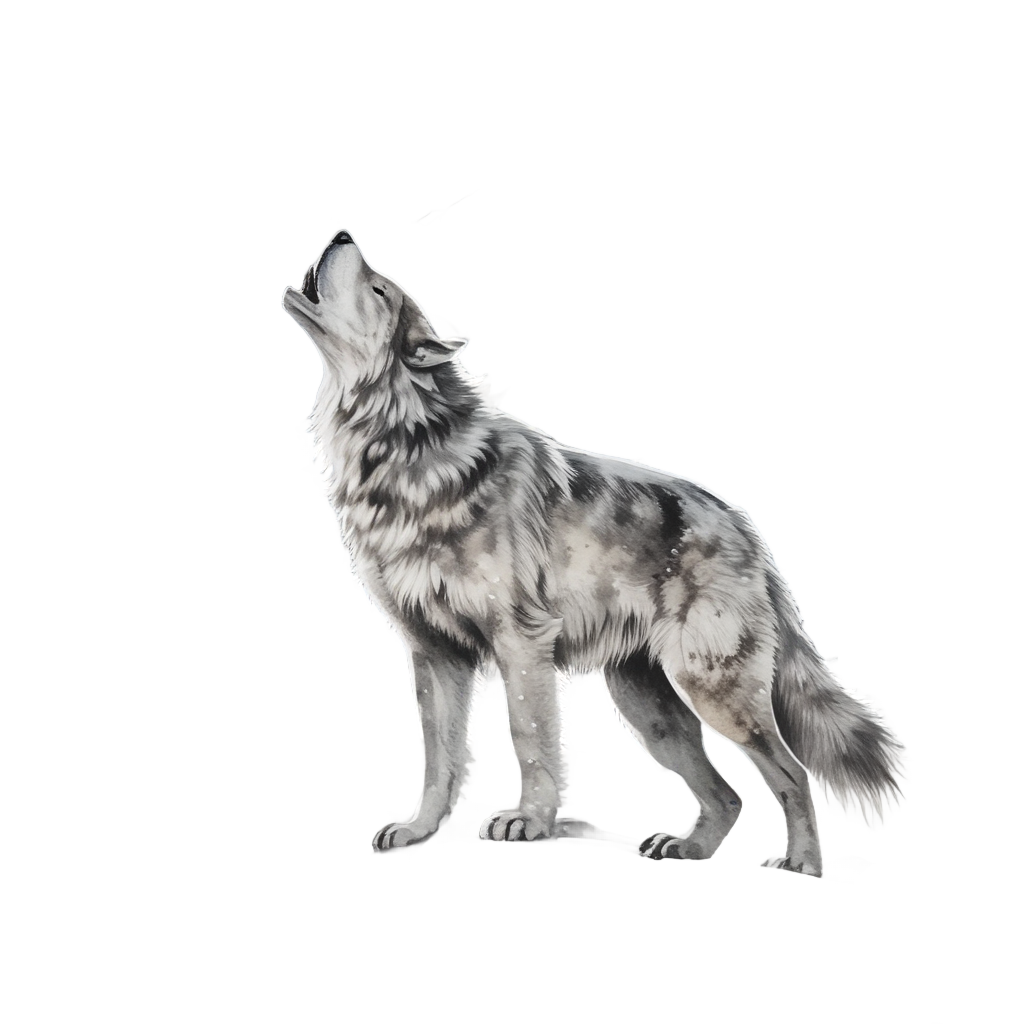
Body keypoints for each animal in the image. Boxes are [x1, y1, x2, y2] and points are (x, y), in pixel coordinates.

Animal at [281, 230, 900, 876]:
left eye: (379, 289)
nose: (342, 234)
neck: (405, 450)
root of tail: (746, 528)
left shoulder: (520, 645)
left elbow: (530, 742)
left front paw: (529, 821)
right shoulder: (433, 654)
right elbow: (439, 758)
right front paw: (420, 829)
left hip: (711, 691)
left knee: (791, 771)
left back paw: (803, 863)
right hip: (649, 712)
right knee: (726, 794)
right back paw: (691, 847)